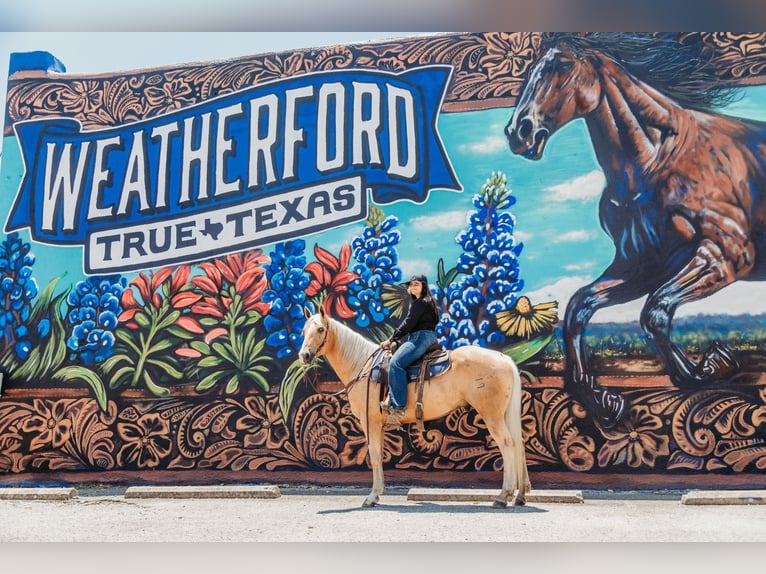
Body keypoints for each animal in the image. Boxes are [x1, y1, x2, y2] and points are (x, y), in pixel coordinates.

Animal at [296, 308, 532, 510]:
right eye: (303, 331)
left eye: (320, 330)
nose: (304, 355)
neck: (362, 366)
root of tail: (504, 359)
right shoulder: (378, 424)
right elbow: (379, 455)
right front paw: (378, 493)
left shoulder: (369, 421)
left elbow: (374, 455)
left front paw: (372, 496)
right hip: (504, 415)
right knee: (518, 444)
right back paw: (520, 496)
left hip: (492, 415)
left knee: (507, 445)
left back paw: (503, 496)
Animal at [504, 31, 766, 428]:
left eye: (562, 64)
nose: (519, 132)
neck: (657, 158)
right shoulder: (642, 264)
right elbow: (580, 308)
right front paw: (603, 401)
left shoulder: (727, 255)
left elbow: (655, 312)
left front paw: (714, 363)